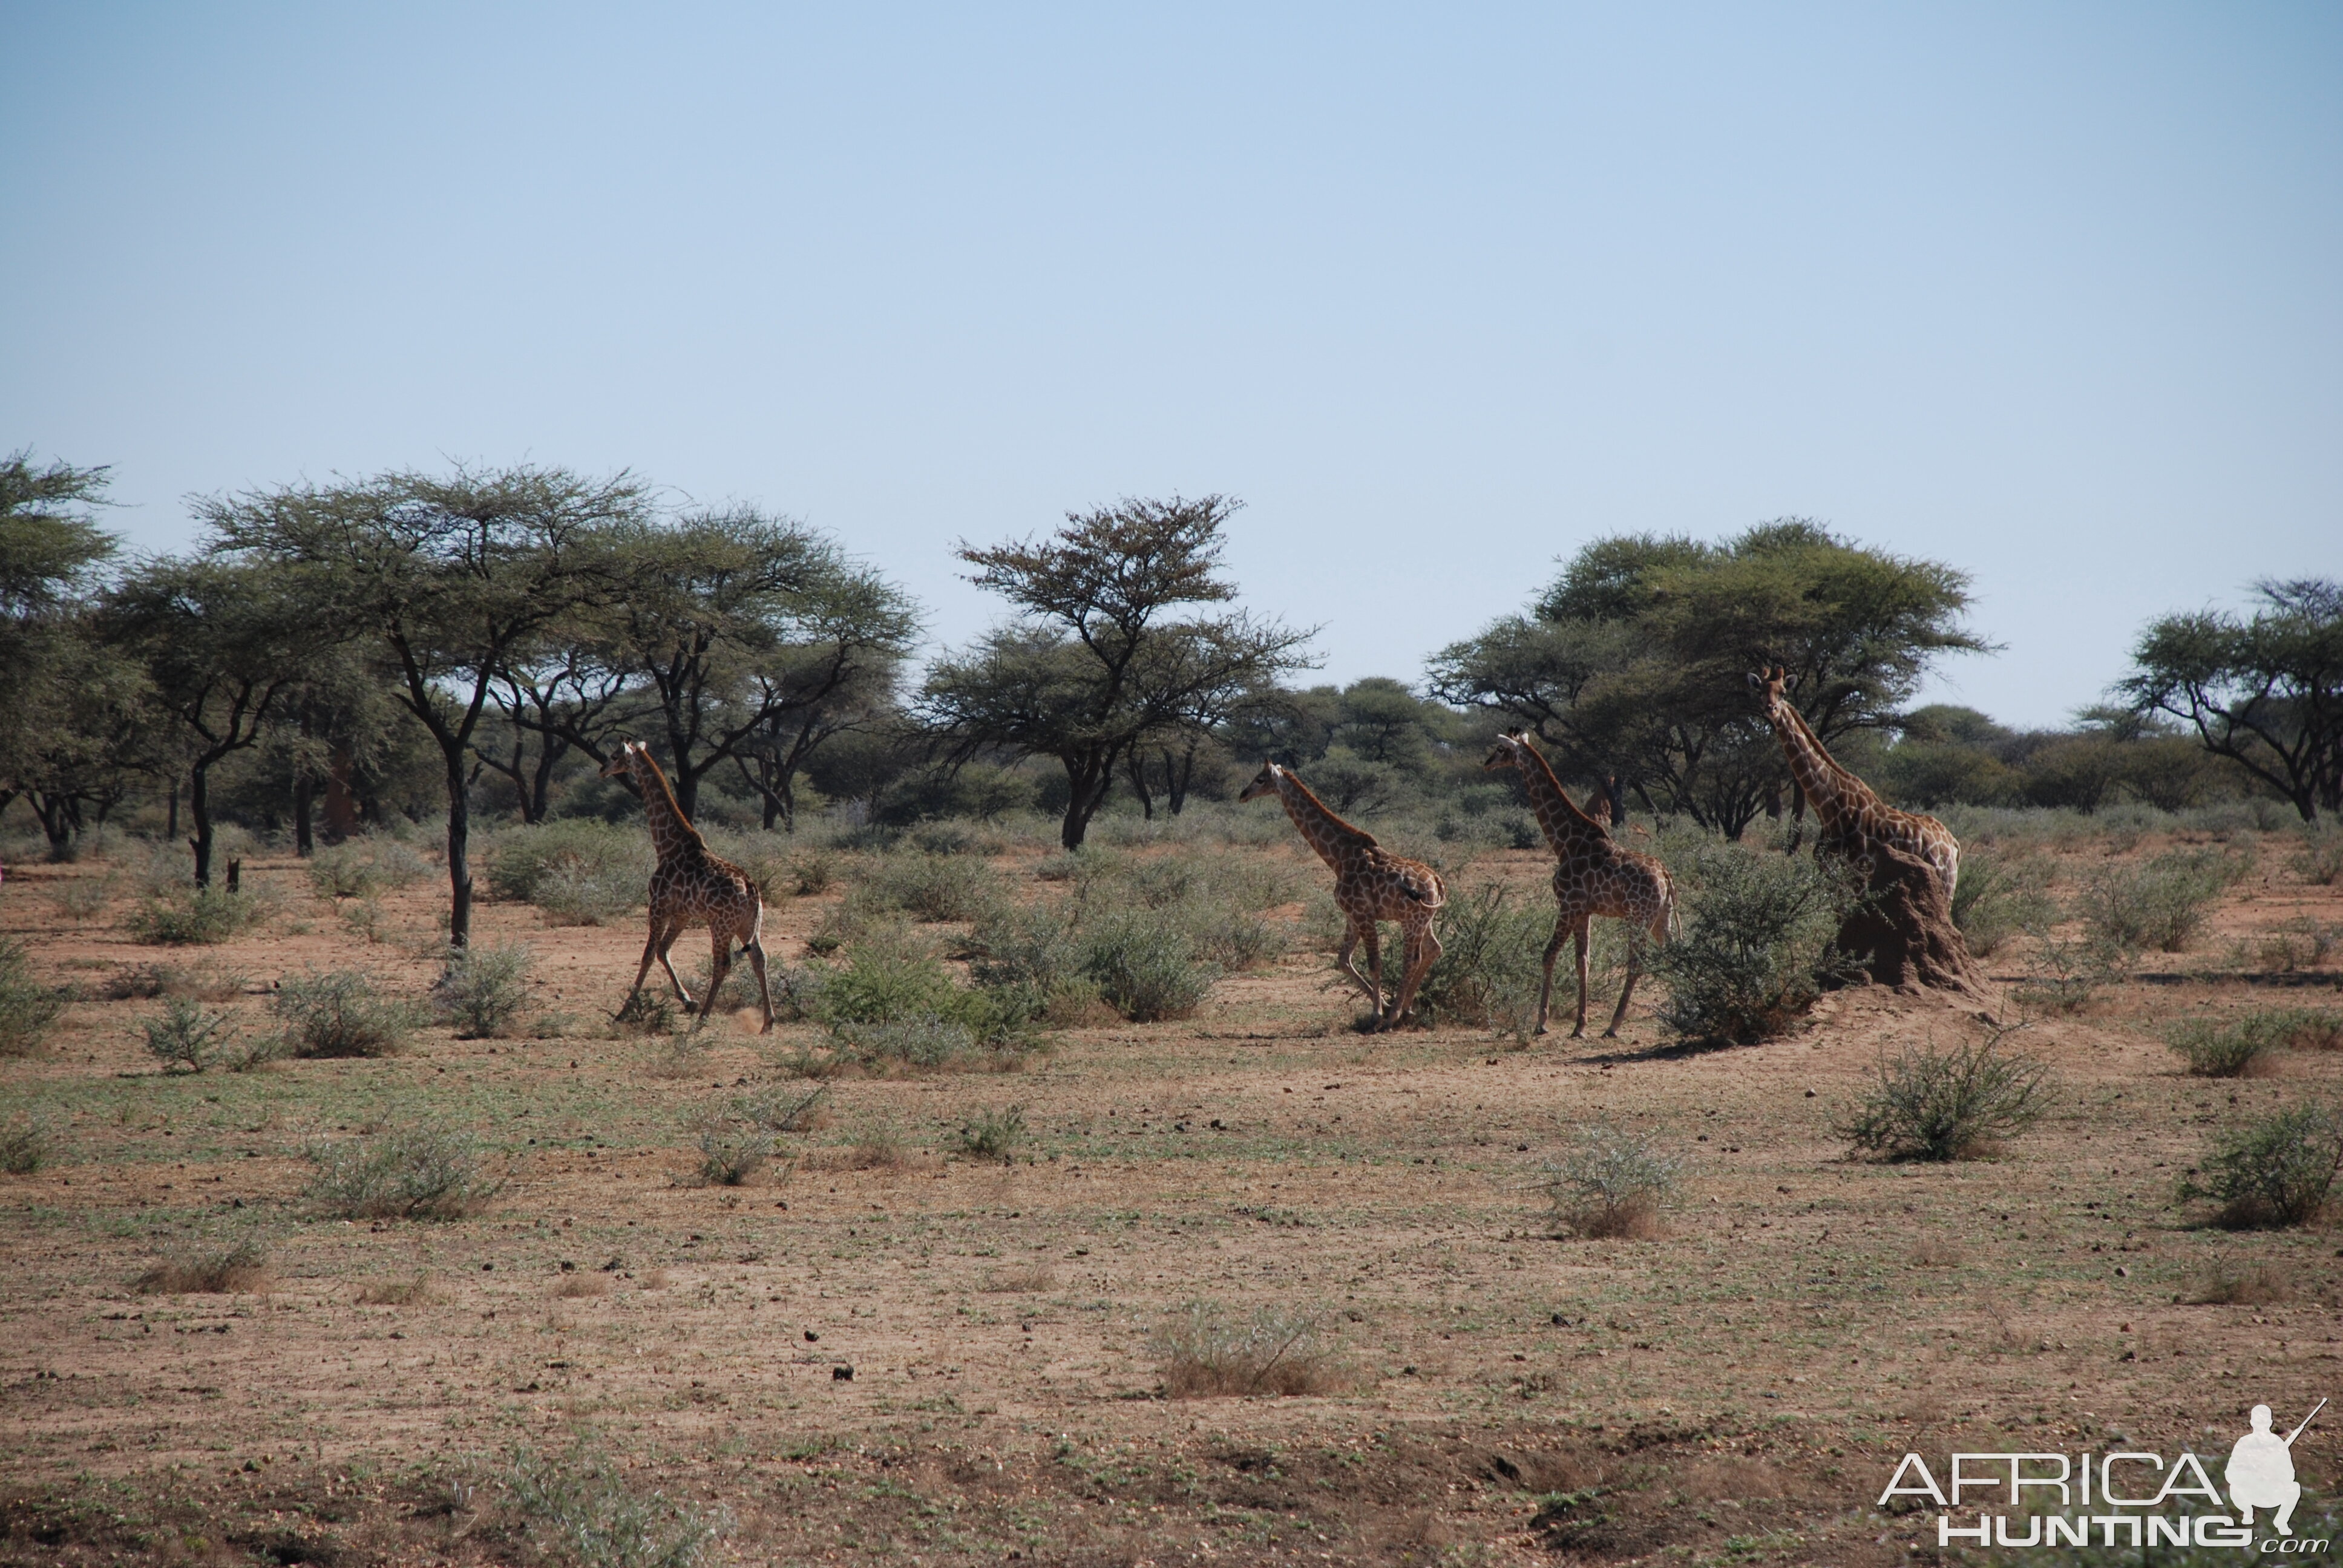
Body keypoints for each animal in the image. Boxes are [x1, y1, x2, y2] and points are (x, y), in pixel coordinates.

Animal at [604, 740, 778, 1031]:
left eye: (615, 756)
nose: (602, 770)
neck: (666, 846)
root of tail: (753, 892)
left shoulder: (657, 906)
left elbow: (648, 955)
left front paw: (623, 1012)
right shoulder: (682, 914)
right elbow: (663, 951)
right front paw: (687, 1001)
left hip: (721, 925)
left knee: (723, 963)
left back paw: (703, 1018)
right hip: (748, 925)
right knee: (759, 958)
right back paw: (768, 1021)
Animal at [1246, 759, 1443, 1027]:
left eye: (1260, 779)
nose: (1243, 794)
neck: (1338, 858)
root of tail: (1437, 881)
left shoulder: (1363, 914)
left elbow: (1374, 963)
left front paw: (1378, 1013)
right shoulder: (1352, 916)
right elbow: (1343, 960)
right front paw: (1384, 1004)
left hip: (1411, 921)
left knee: (1413, 958)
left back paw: (1394, 1015)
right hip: (1425, 919)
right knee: (1434, 949)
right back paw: (1407, 1009)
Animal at [1490, 736, 1677, 1040]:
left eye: (1500, 749)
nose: (1486, 763)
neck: (1564, 841)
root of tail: (1665, 875)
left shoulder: (1569, 904)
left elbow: (1549, 955)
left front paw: (1541, 1022)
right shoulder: (1584, 911)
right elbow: (1583, 962)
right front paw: (1580, 1026)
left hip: (1638, 916)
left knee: (1637, 962)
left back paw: (1614, 1025)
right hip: (1662, 916)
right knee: (1674, 953)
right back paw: (1683, 1009)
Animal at [1752, 665, 1968, 900]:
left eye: (1783, 693)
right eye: (1760, 691)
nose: (1771, 709)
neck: (1828, 807)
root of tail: (1953, 844)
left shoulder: (1857, 874)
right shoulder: (1830, 874)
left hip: (1944, 886)